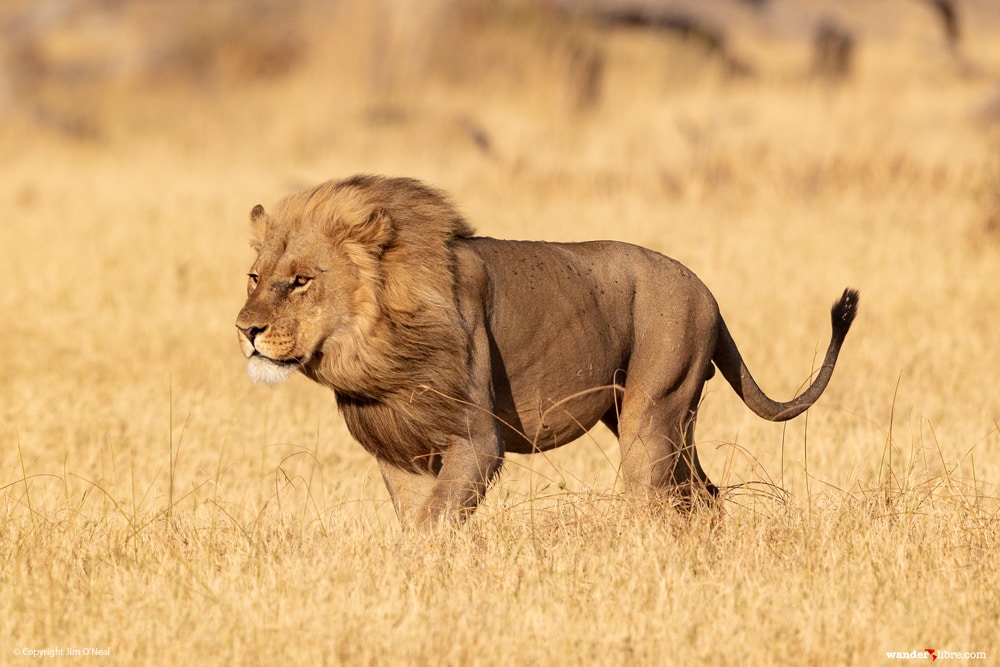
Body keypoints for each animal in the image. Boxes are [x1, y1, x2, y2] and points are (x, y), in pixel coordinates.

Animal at [236, 175, 860, 528]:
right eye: (254, 277)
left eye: (300, 281)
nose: (246, 330)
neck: (376, 352)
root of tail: (707, 291)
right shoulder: (399, 453)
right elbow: (416, 523)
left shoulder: (478, 443)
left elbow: (434, 525)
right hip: (653, 421)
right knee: (702, 496)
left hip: (653, 415)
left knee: (663, 502)